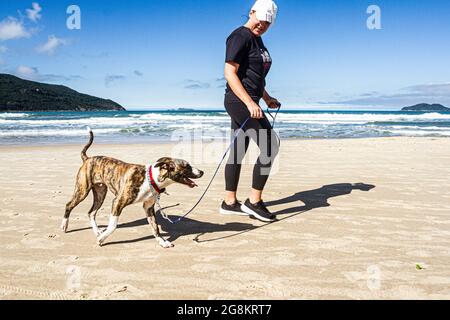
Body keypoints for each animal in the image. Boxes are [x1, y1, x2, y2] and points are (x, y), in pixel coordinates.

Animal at [61, 129, 204, 248]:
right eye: (187, 166)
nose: (202, 171)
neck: (151, 179)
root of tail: (87, 158)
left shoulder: (148, 207)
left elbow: (155, 227)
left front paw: (162, 242)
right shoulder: (118, 202)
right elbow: (113, 226)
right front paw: (102, 239)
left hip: (101, 193)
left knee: (91, 212)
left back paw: (97, 231)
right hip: (82, 190)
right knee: (69, 205)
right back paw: (64, 225)